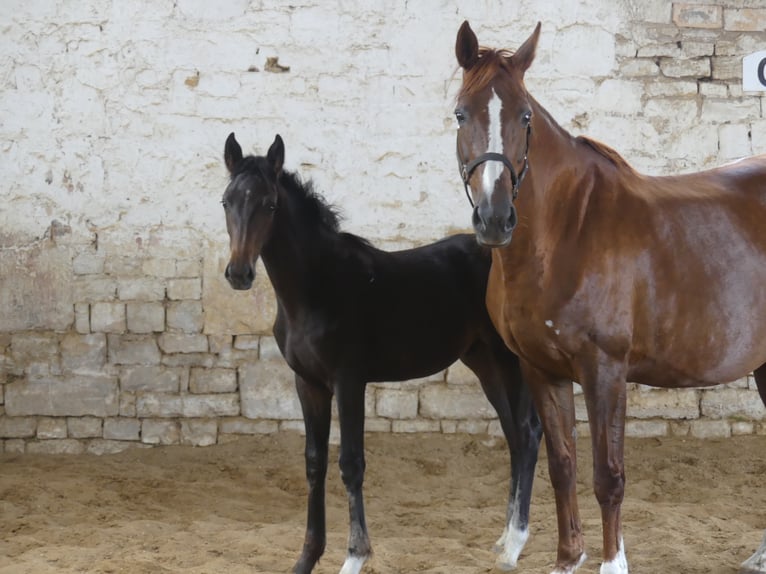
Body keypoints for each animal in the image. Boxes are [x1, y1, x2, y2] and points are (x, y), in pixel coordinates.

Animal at [220, 132, 542, 574]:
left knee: (528, 433)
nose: (239, 273)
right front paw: (306, 558)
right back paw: (502, 539)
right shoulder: (308, 383)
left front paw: (355, 556)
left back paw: (515, 545)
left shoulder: (349, 381)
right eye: (226, 202)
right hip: (484, 363)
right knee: (513, 436)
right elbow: (314, 462)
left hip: (511, 361)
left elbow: (351, 464)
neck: (316, 289)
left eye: (269, 205)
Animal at [451, 20, 766, 574]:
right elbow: (563, 466)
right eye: (461, 113)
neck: (565, 233)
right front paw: (567, 558)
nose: (494, 219)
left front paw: (612, 562)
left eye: (524, 115)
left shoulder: (605, 369)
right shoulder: (541, 369)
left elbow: (608, 475)